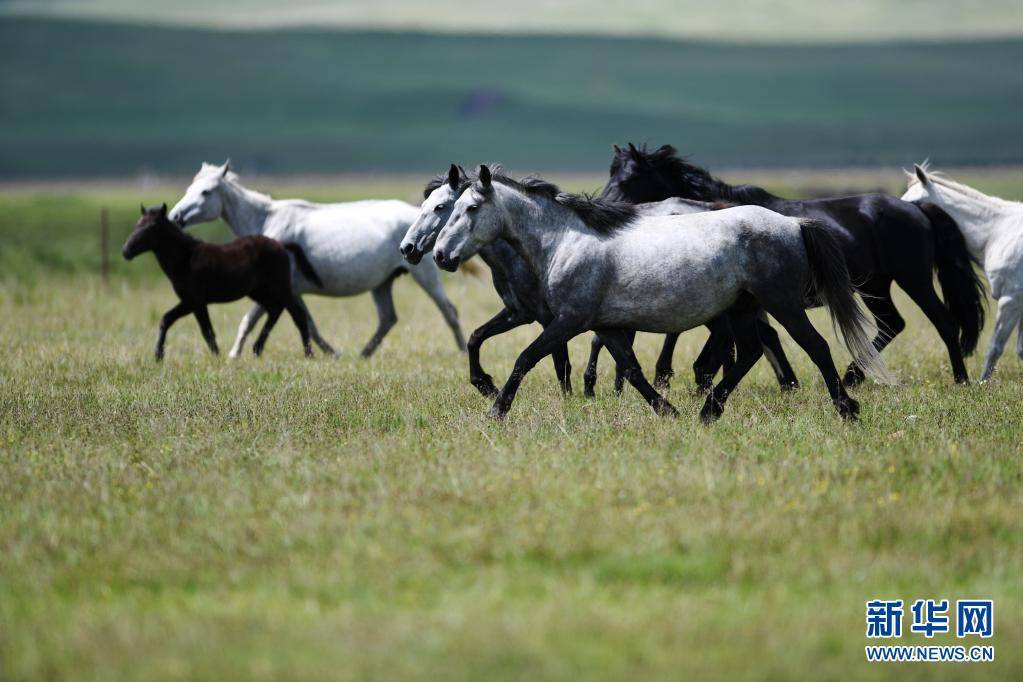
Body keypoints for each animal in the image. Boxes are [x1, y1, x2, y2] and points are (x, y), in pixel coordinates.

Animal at [124, 205, 323, 359]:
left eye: (151, 227)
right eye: (136, 225)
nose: (126, 251)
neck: (186, 258)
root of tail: (281, 245)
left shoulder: (194, 301)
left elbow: (205, 331)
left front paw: (216, 357)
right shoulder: (191, 302)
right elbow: (169, 320)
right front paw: (158, 355)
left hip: (279, 288)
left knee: (296, 315)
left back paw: (307, 354)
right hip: (259, 291)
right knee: (276, 310)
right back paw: (258, 349)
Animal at [169, 163, 466, 359]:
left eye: (206, 192)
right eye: (189, 188)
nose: (175, 216)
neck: (267, 223)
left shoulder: (276, 289)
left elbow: (248, 320)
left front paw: (233, 354)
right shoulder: (293, 291)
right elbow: (309, 324)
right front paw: (331, 353)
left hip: (425, 275)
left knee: (449, 311)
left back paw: (463, 351)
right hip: (382, 283)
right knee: (387, 319)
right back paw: (363, 354)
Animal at [597, 144, 982, 386]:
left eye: (628, 179)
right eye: (610, 175)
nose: (601, 204)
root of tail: (916, 209)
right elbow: (764, 340)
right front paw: (787, 383)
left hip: (913, 280)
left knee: (943, 322)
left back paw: (960, 379)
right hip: (874, 286)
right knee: (892, 323)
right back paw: (853, 376)